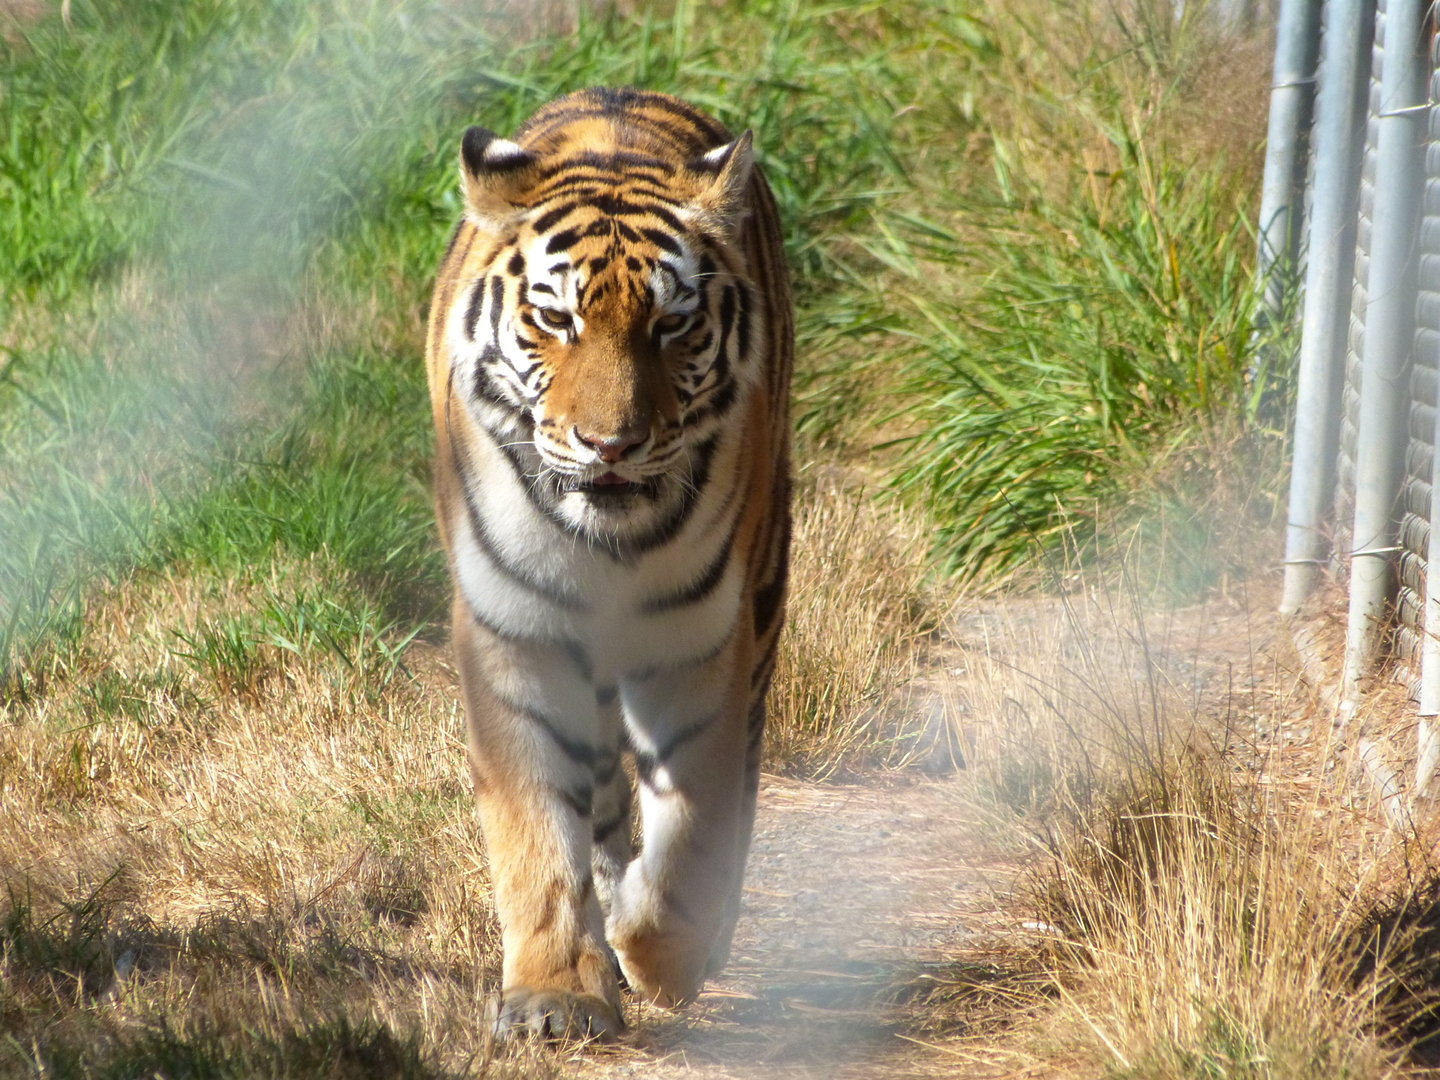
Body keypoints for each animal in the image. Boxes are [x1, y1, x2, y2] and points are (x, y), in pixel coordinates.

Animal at [424, 87, 792, 1041]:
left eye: (672, 325)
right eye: (557, 320)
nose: (611, 444)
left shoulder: (698, 643)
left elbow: (694, 826)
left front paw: (662, 958)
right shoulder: (513, 638)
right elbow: (534, 831)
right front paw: (555, 992)